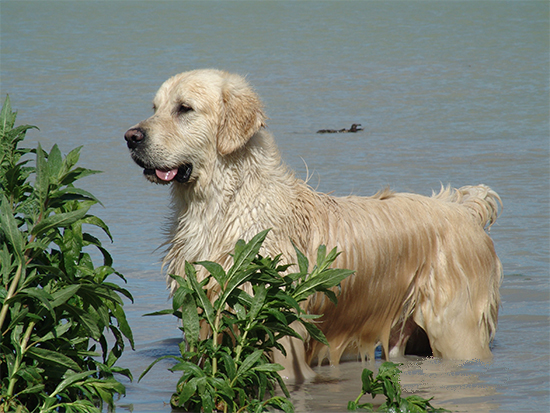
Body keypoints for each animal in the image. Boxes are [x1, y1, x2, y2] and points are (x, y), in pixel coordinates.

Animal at [125, 68, 504, 380]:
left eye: (184, 108)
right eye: (155, 107)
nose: (131, 136)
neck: (223, 204)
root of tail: (465, 209)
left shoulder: (279, 331)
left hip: (455, 330)